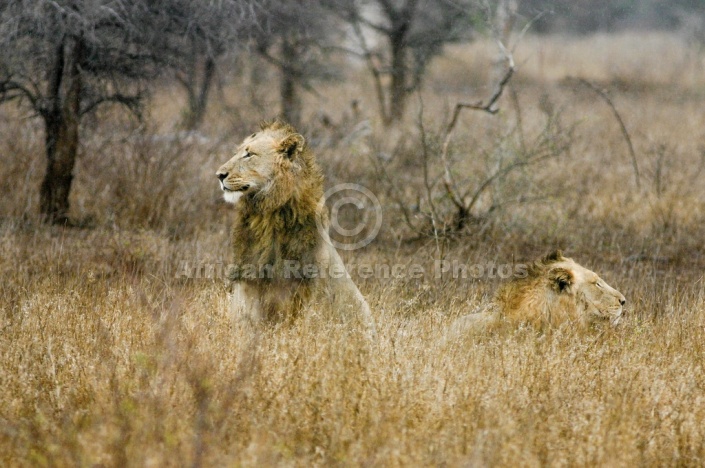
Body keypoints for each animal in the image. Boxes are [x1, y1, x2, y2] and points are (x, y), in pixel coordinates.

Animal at [217, 119, 376, 334]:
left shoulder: (305, 285)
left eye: (249, 154)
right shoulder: (247, 279)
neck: (266, 213)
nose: (219, 175)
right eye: (238, 152)